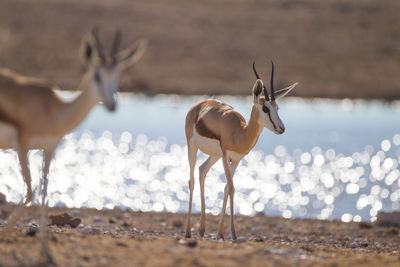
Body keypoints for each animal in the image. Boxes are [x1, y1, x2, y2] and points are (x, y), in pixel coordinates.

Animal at [0, 28, 147, 262]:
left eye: (117, 75)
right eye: (97, 75)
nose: (112, 105)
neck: (53, 111)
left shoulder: (48, 150)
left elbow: (44, 193)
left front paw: (45, 252)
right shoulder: (21, 145)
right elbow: (31, 192)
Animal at [184, 61, 296, 241]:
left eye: (277, 108)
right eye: (265, 109)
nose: (281, 128)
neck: (239, 133)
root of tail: (197, 107)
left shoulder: (236, 160)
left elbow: (227, 189)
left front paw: (221, 233)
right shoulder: (225, 156)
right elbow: (231, 188)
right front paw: (234, 234)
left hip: (214, 156)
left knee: (202, 171)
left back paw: (201, 229)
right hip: (192, 147)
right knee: (192, 180)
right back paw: (188, 231)